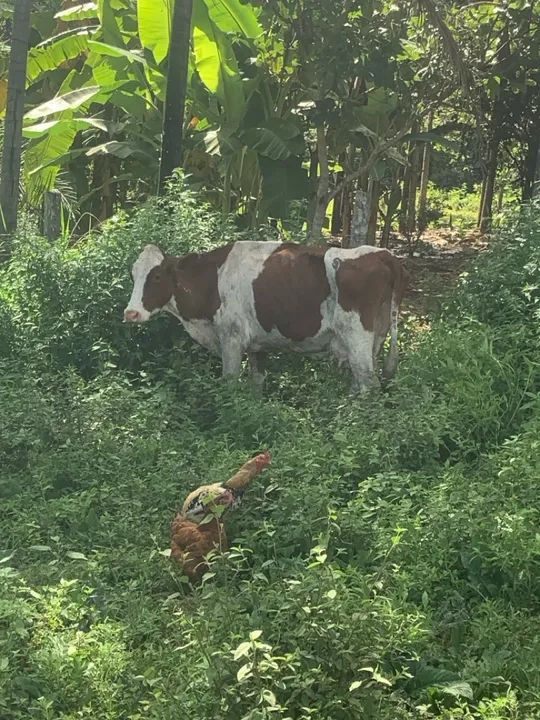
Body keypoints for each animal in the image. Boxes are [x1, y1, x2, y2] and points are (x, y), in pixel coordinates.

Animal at [123, 241, 408, 393]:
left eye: (156, 276)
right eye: (133, 275)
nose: (131, 312)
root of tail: (383, 254)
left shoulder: (232, 339)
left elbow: (229, 383)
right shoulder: (256, 346)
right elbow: (257, 383)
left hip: (356, 335)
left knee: (368, 382)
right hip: (376, 336)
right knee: (361, 381)